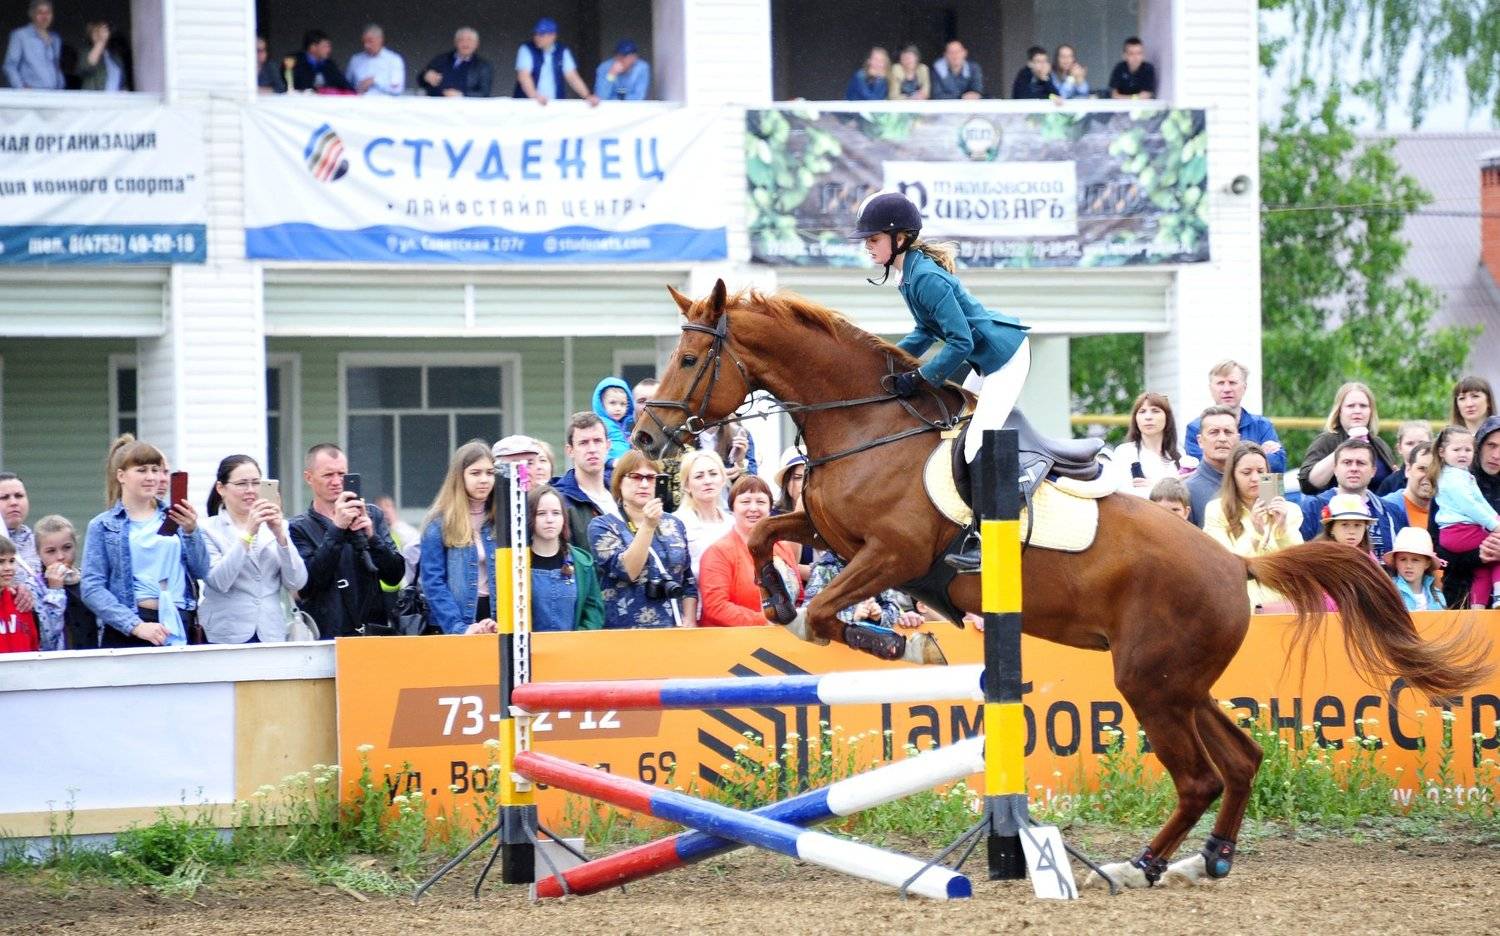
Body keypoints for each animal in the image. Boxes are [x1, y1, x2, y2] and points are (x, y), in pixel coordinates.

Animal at [633, 279, 1492, 888]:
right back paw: (1208, 857)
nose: (645, 438)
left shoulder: (892, 553)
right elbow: (764, 536)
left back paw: (1142, 864)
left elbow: (825, 612)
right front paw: (776, 600)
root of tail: (1236, 563)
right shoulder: (831, 533)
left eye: (688, 359)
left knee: (1198, 776)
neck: (869, 424)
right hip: (1178, 682)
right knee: (1241, 760)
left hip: (1149, 681)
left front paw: (898, 647)